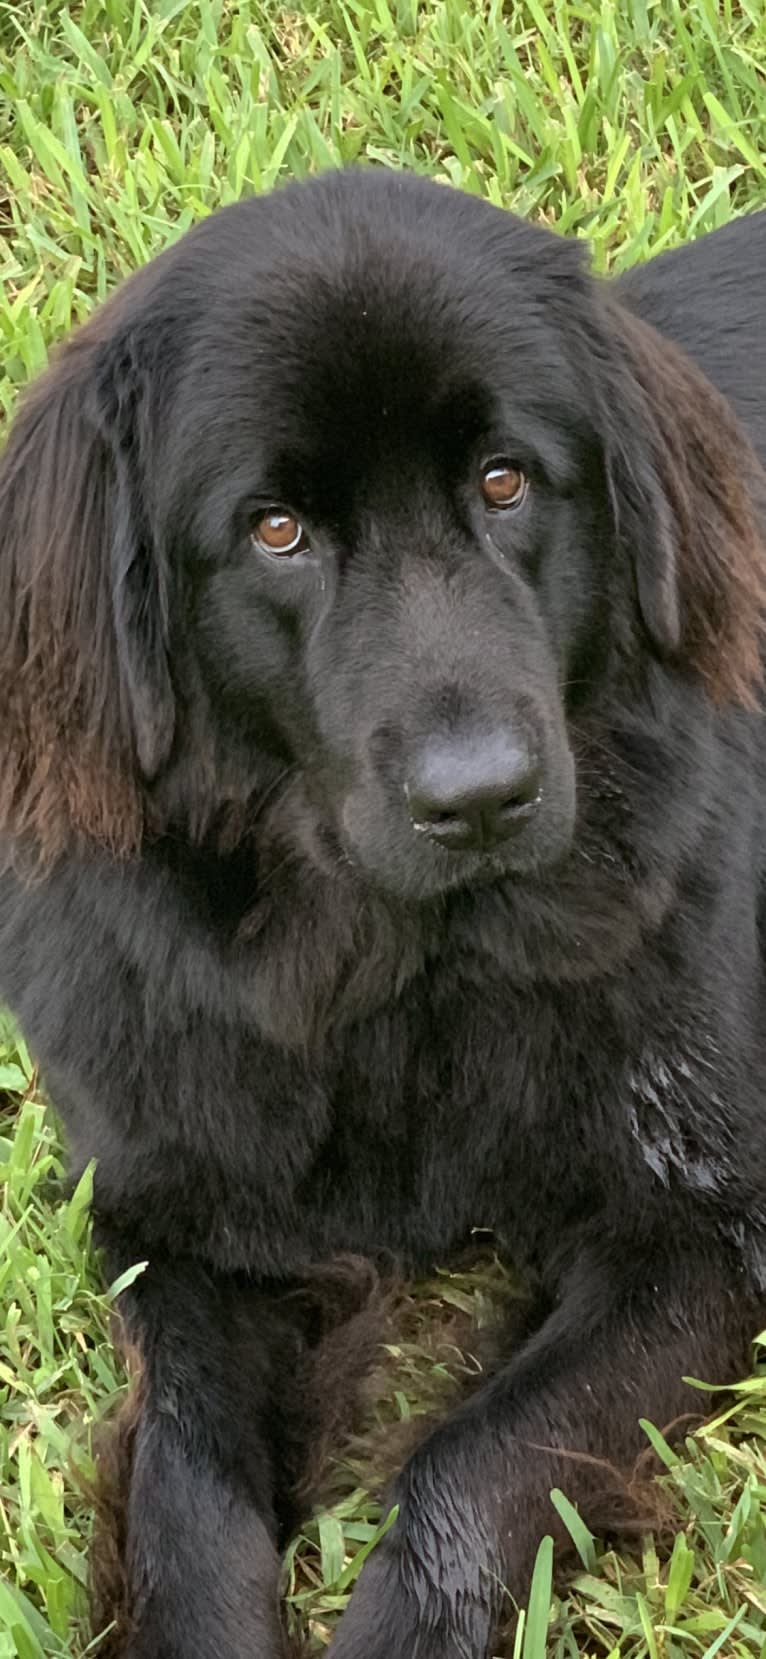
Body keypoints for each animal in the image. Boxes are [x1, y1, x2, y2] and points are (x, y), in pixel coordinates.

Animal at [1, 171, 766, 1659]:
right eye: (275, 529)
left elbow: (475, 1458)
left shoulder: (700, 1228)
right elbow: (187, 1479)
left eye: (504, 480)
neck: (391, 981)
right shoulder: (171, 1220)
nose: (480, 797)